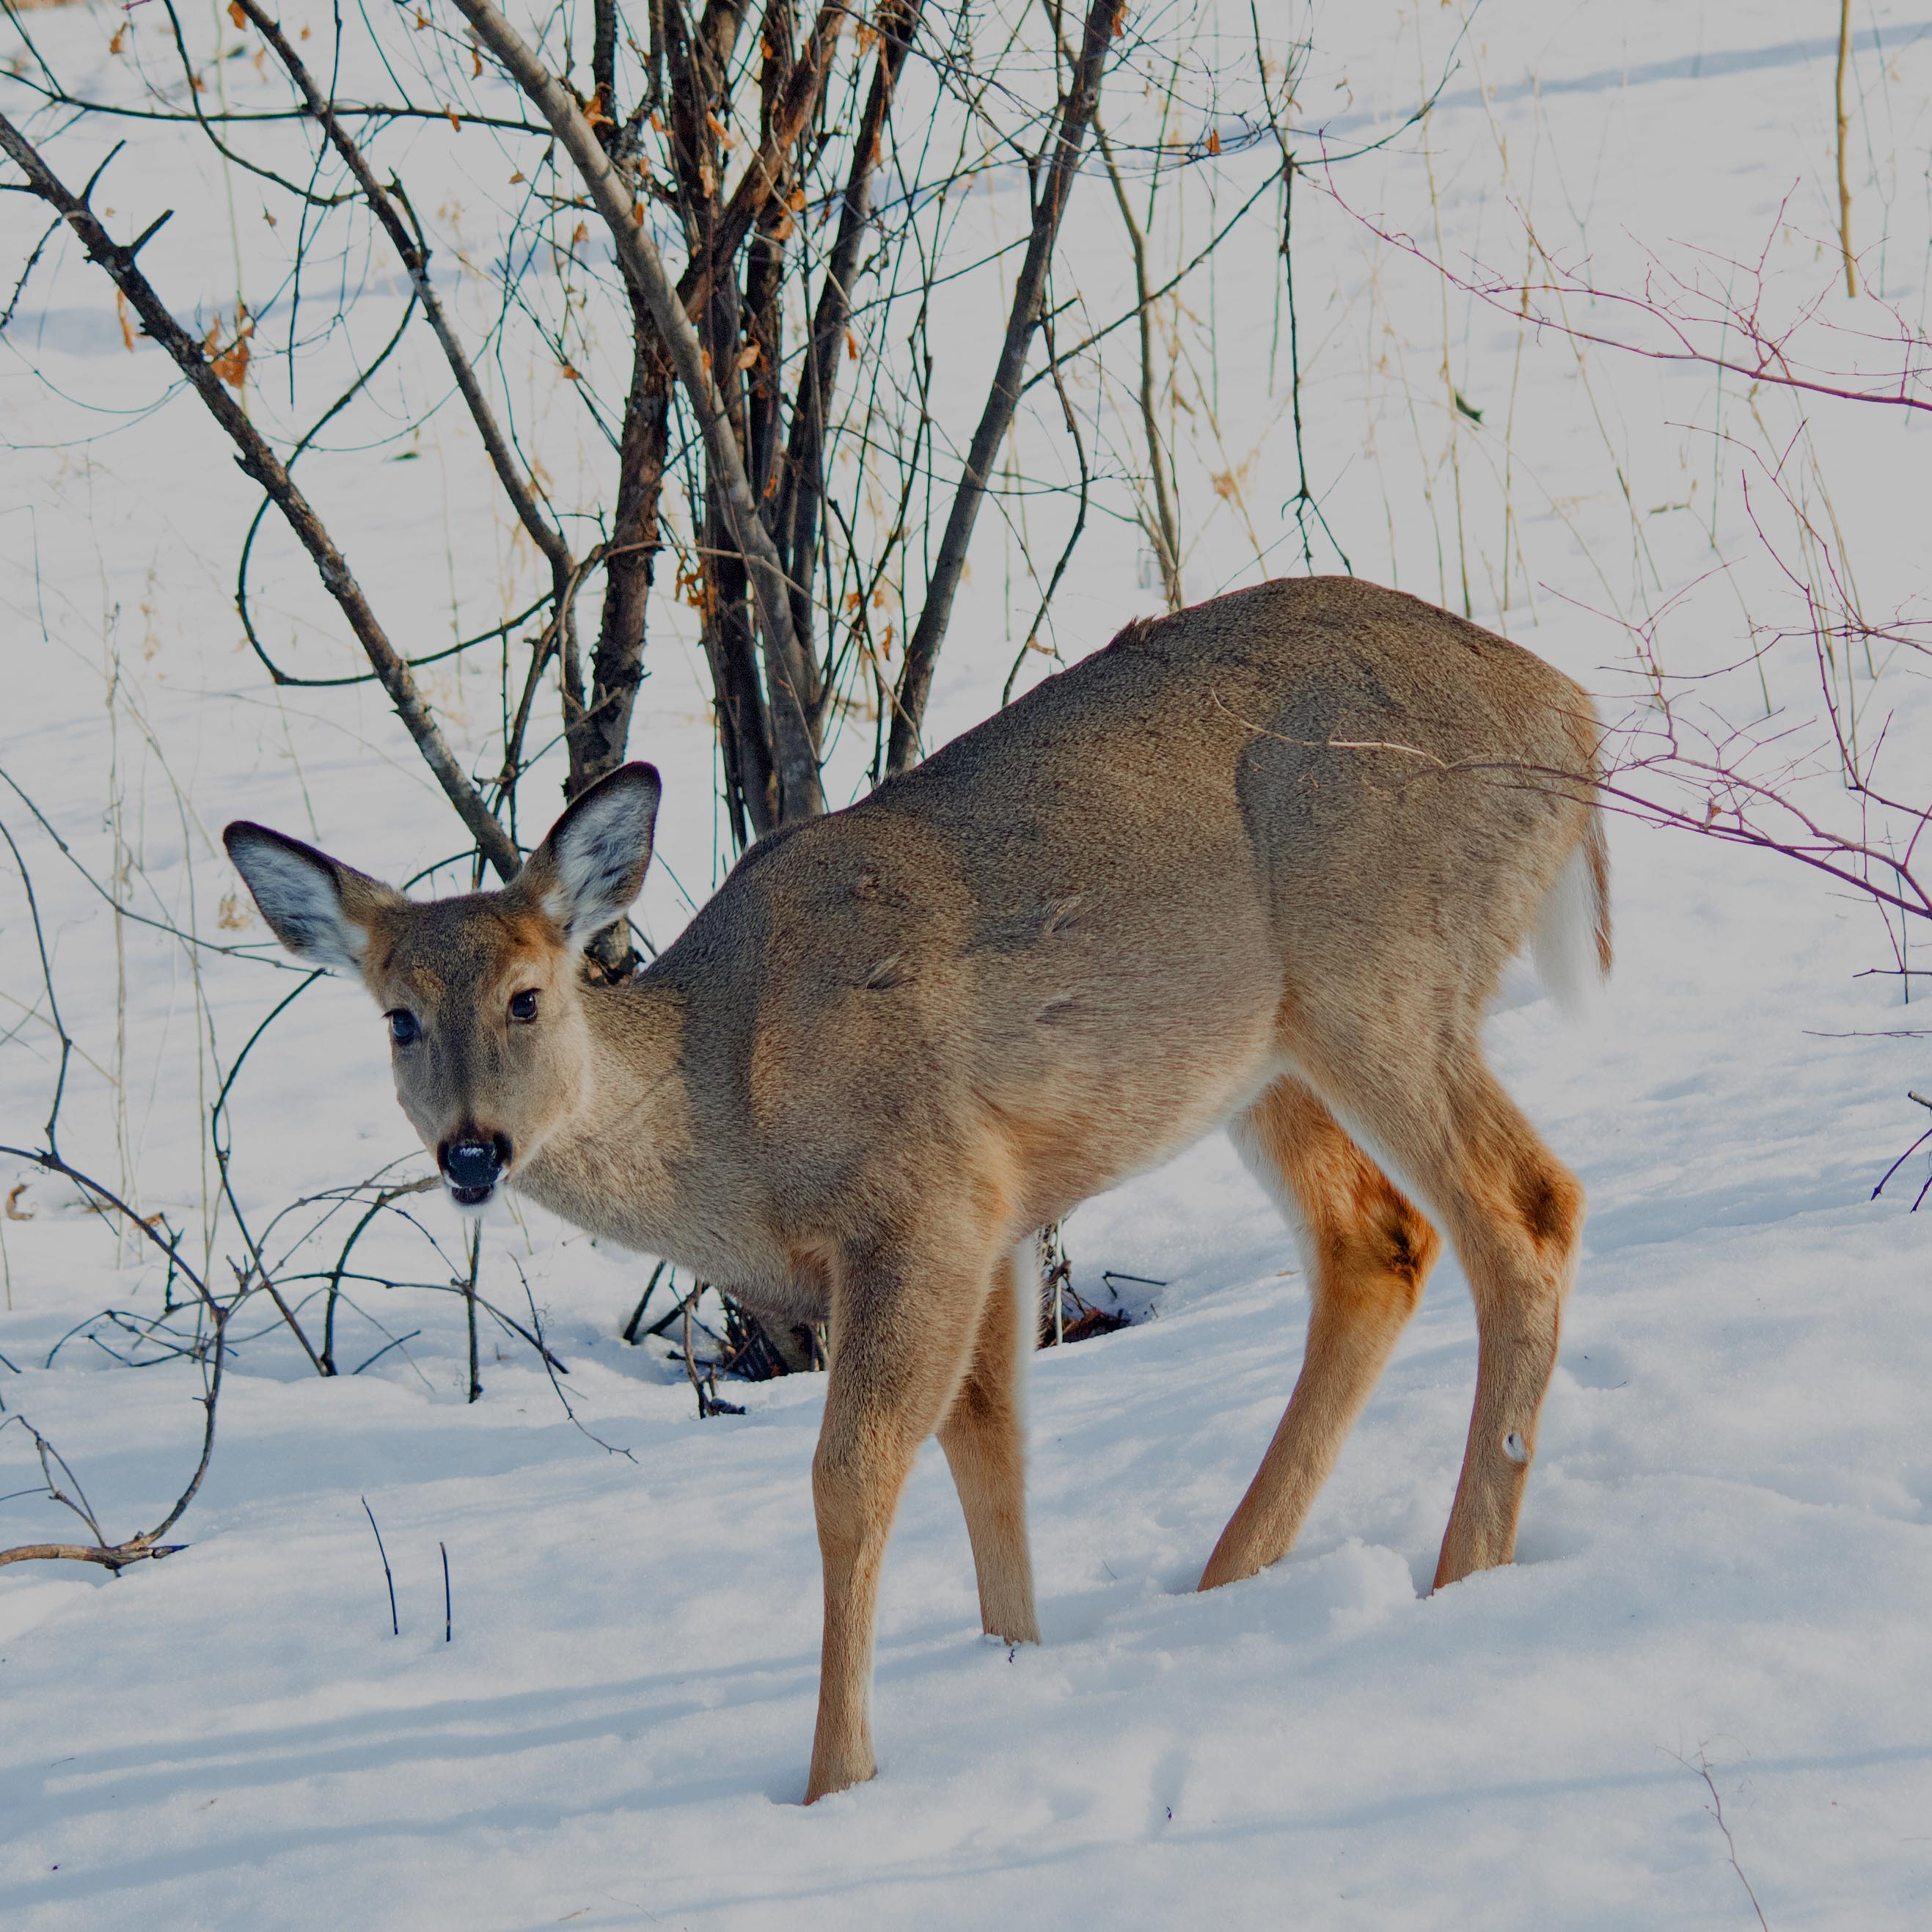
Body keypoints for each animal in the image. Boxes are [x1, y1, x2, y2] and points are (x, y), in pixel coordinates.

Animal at [223, 575, 1610, 1804]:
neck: (731, 1106)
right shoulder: (991, 1218)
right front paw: (1017, 1663)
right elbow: (987, 1440)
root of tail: (1570, 717)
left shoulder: (921, 1197)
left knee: (1524, 1207)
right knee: (1377, 1240)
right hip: (1261, 1055)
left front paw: (837, 1779)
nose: (472, 1151)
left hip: (1376, 968)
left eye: (526, 995)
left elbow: (852, 1473)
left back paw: (1459, 1575)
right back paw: (1227, 1585)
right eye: (397, 1017)